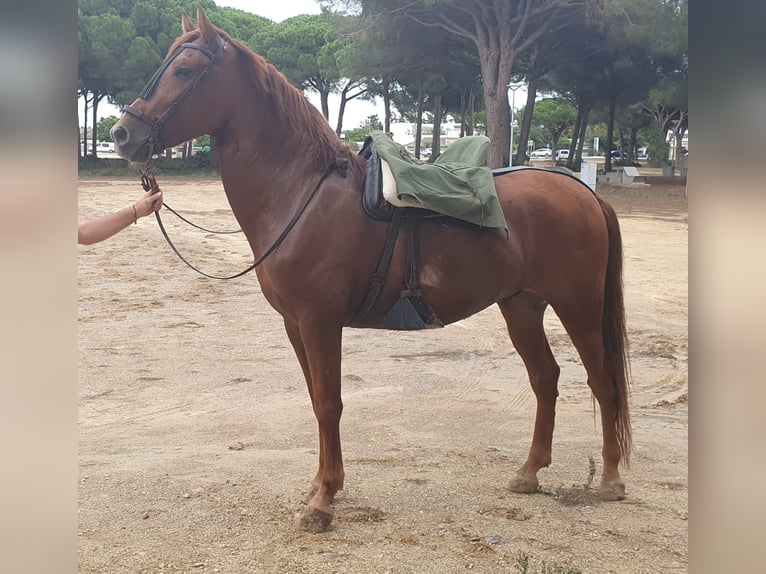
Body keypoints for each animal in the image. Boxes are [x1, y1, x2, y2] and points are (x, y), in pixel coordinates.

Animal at [112, 5, 632, 536]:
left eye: (183, 71)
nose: (122, 134)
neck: (302, 194)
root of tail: (582, 191)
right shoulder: (296, 324)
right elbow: (316, 399)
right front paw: (321, 486)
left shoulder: (320, 321)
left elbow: (329, 402)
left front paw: (322, 502)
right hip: (522, 306)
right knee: (546, 377)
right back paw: (529, 472)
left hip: (577, 307)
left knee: (602, 381)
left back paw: (611, 479)